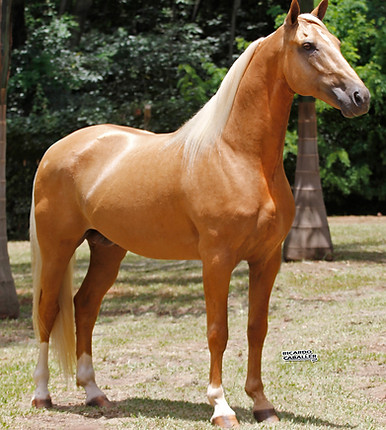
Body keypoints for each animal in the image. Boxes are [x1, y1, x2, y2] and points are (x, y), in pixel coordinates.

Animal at [30, 0, 370, 426]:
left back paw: (95, 393)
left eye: (336, 43)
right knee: (47, 311)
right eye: (308, 46)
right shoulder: (217, 260)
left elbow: (256, 328)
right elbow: (217, 331)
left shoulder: (267, 260)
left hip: (107, 249)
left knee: (85, 306)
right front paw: (221, 407)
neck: (238, 155)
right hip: (58, 247)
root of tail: (55, 150)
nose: (360, 97)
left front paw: (262, 404)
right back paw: (42, 395)